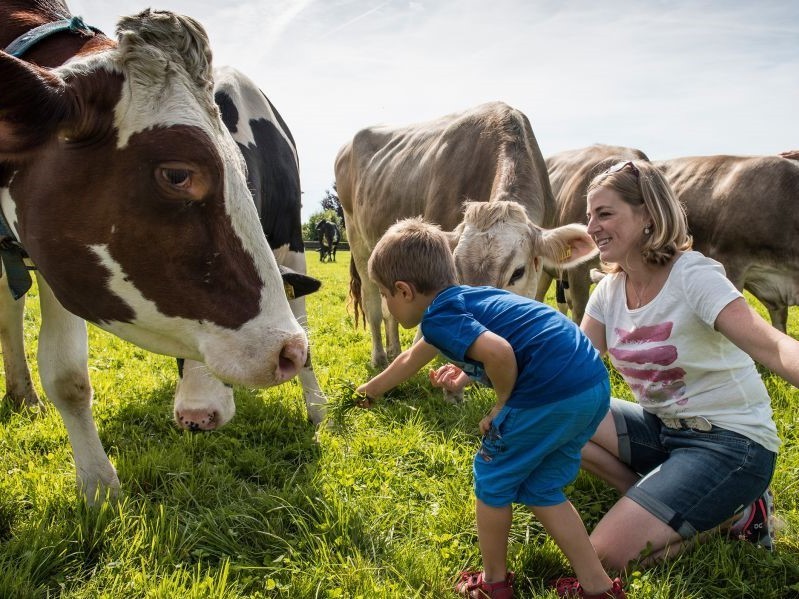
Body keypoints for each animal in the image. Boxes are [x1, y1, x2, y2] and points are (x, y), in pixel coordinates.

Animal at [334, 101, 598, 368]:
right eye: (457, 269)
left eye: (518, 272)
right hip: (356, 237)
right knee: (373, 304)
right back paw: (379, 357)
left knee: (390, 310)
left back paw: (394, 350)